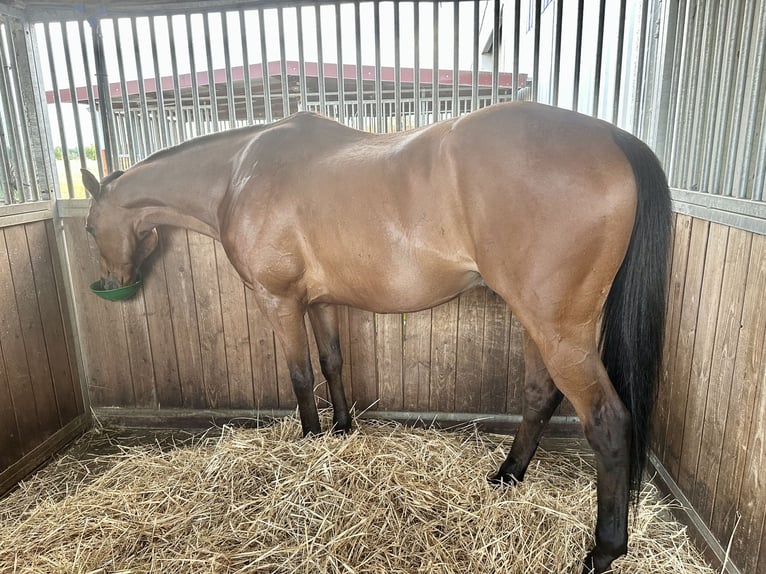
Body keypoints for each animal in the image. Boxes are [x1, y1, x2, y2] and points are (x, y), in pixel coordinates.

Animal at [82, 101, 671, 573]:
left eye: (88, 227)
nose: (112, 285)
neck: (238, 173)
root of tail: (612, 137)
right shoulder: (321, 303)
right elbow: (332, 362)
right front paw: (341, 432)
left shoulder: (280, 301)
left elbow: (300, 376)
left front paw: (309, 445)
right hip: (538, 323)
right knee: (539, 395)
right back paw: (506, 477)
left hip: (558, 330)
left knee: (607, 421)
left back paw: (603, 550)